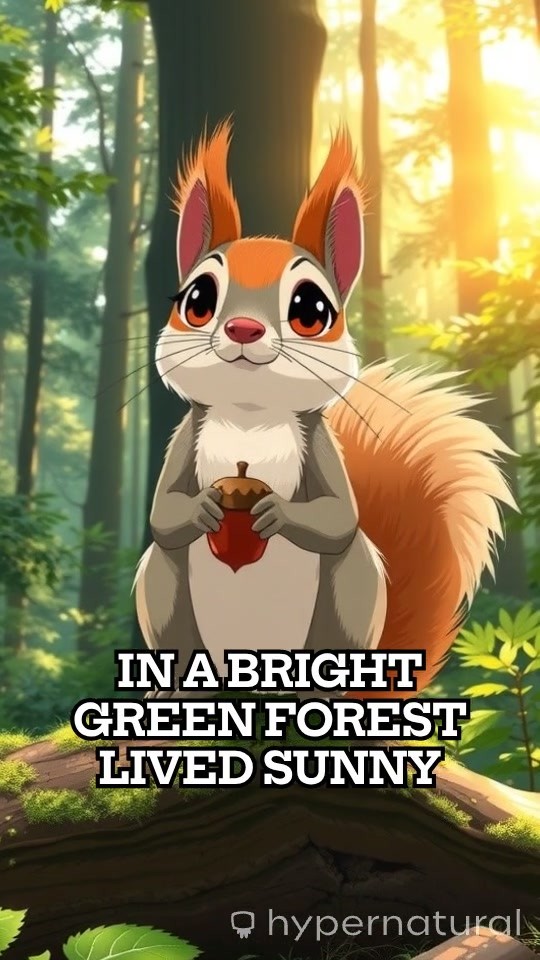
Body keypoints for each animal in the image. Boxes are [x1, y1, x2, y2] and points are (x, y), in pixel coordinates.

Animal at [134, 119, 516, 699]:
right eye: (196, 299)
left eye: (312, 310)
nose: (243, 329)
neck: (249, 414)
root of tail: (252, 682)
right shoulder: (186, 434)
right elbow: (163, 514)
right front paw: (203, 508)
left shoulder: (317, 445)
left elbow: (339, 517)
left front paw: (276, 511)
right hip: (167, 594)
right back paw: (177, 692)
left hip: (350, 596)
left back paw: (323, 695)